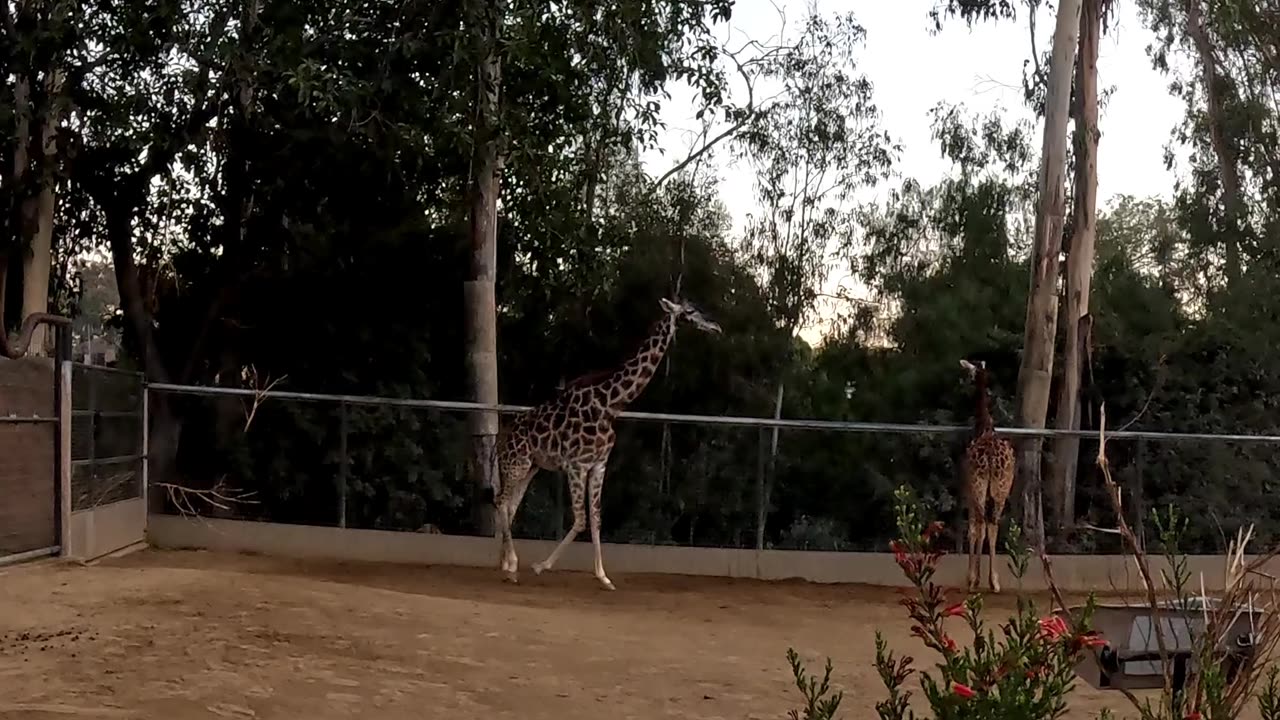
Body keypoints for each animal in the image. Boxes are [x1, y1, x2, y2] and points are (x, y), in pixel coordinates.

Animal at [488, 297, 721, 589]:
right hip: (515, 464)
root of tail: (500, 438)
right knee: (500, 500)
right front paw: (541, 566)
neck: (611, 405)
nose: (715, 326)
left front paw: (604, 577)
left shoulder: (598, 465)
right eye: (690, 311)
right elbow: (580, 520)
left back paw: (509, 566)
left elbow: (596, 518)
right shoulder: (576, 466)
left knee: (509, 505)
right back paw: (512, 565)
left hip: (530, 467)